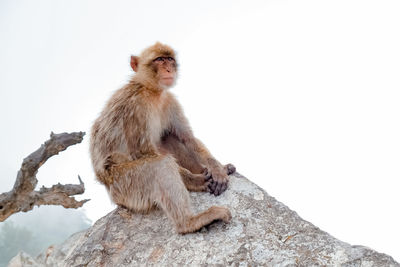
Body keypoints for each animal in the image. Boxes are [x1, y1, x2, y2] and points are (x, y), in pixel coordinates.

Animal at [89, 42, 236, 234]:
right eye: (159, 60)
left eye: (169, 59)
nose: (168, 69)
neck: (152, 91)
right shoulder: (136, 107)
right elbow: (144, 153)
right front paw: (195, 180)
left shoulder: (169, 100)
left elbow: (187, 138)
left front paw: (217, 169)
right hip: (124, 185)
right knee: (160, 165)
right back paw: (190, 222)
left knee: (168, 137)